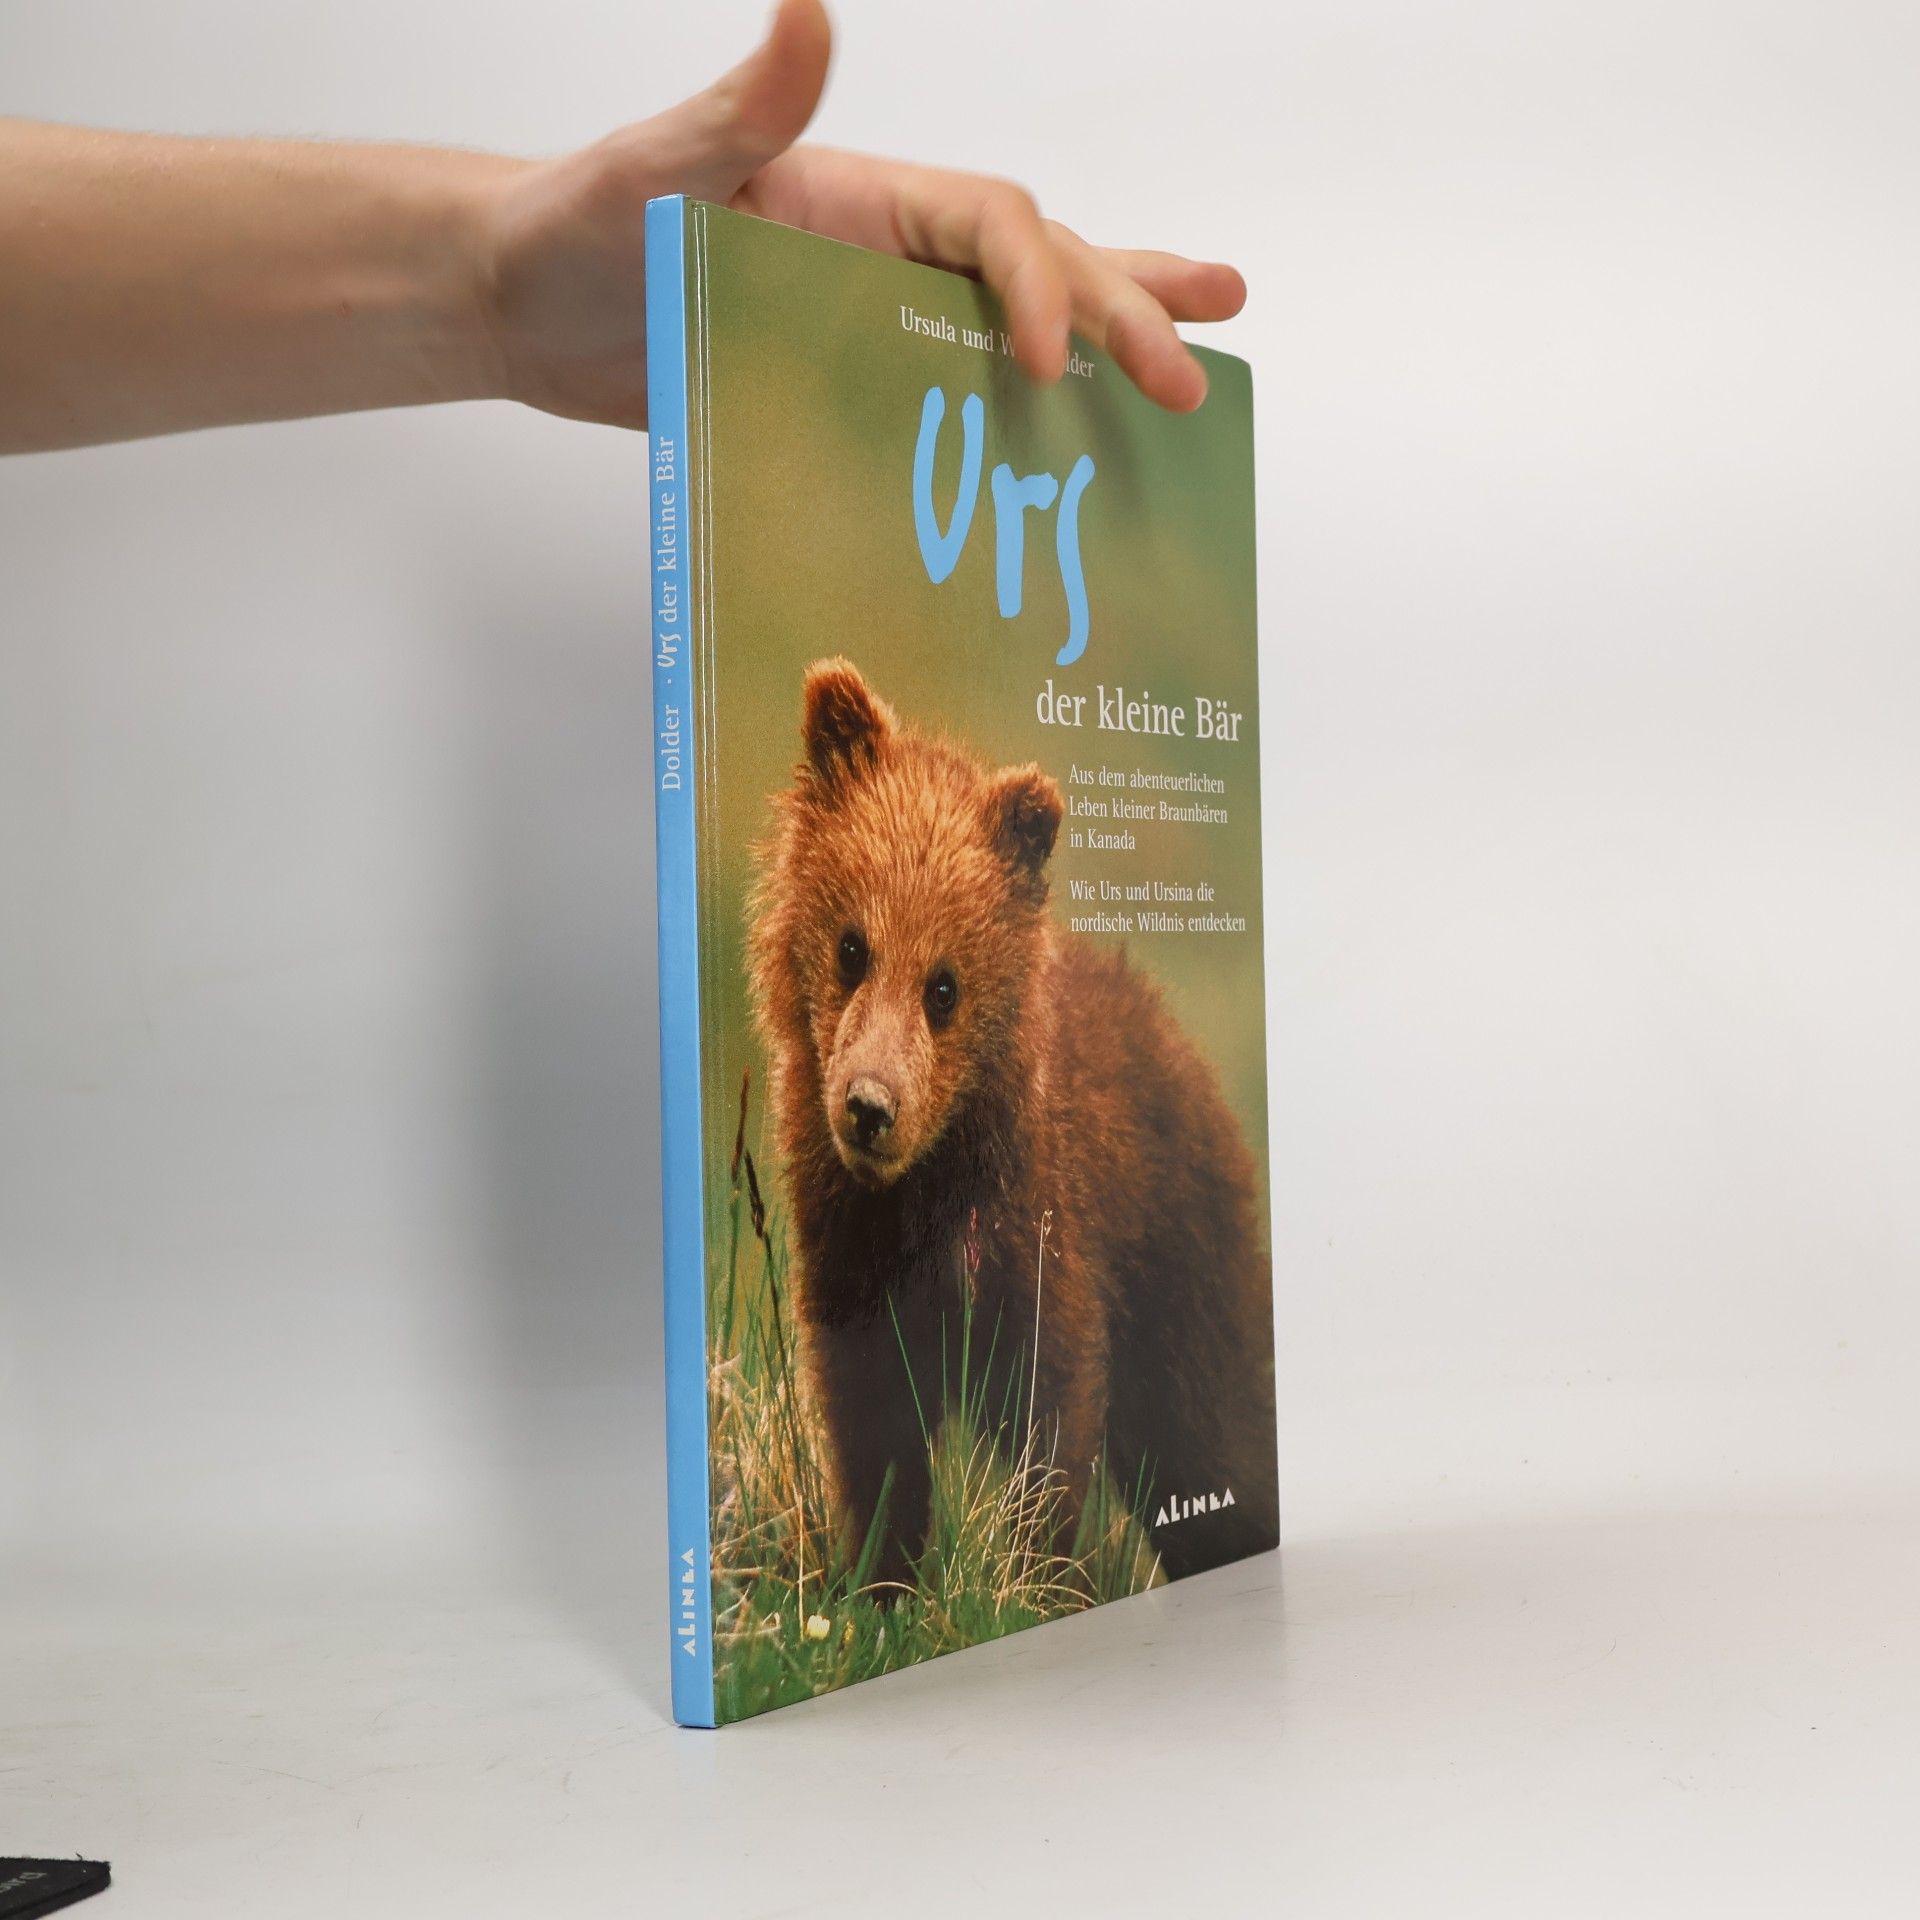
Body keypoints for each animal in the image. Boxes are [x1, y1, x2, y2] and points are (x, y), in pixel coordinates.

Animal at [748, 658, 1279, 1593]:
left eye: (945, 986)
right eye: (852, 946)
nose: (870, 1106)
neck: (919, 1203)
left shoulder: (1040, 1238)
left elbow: (1052, 1410)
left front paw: (1030, 1577)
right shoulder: (848, 1258)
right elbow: (873, 1434)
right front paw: (881, 1581)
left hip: (1183, 1270)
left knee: (1216, 1436)